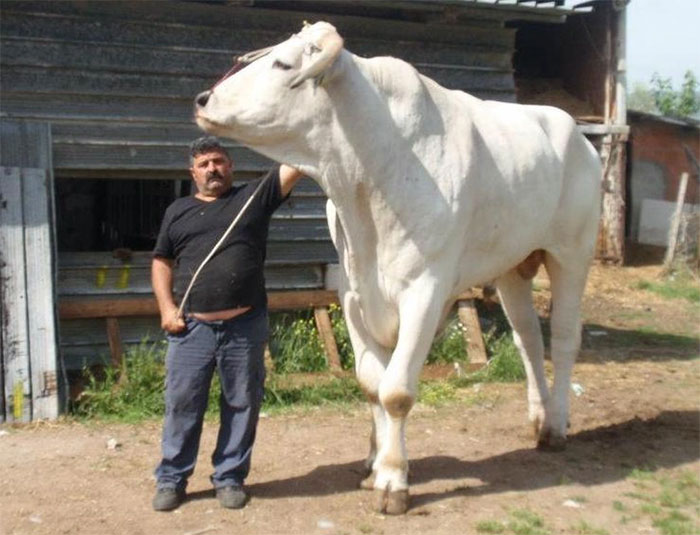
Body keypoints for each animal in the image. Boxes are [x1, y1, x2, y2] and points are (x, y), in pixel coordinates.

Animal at [194, 21, 602, 514]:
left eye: (283, 64)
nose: (203, 99)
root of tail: (574, 131)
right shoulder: (352, 294)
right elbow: (372, 381)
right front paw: (373, 462)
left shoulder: (424, 291)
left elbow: (397, 390)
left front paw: (393, 479)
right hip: (512, 267)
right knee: (528, 339)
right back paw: (538, 421)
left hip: (572, 253)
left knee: (562, 338)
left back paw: (557, 425)